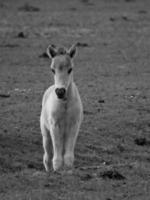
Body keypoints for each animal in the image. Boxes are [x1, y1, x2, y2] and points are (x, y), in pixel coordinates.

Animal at [39, 44, 83, 172]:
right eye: (52, 70)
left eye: (70, 69)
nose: (60, 92)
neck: (65, 104)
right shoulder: (55, 125)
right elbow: (56, 155)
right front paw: (57, 169)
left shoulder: (74, 125)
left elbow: (68, 156)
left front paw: (68, 169)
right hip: (46, 134)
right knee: (47, 156)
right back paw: (49, 170)